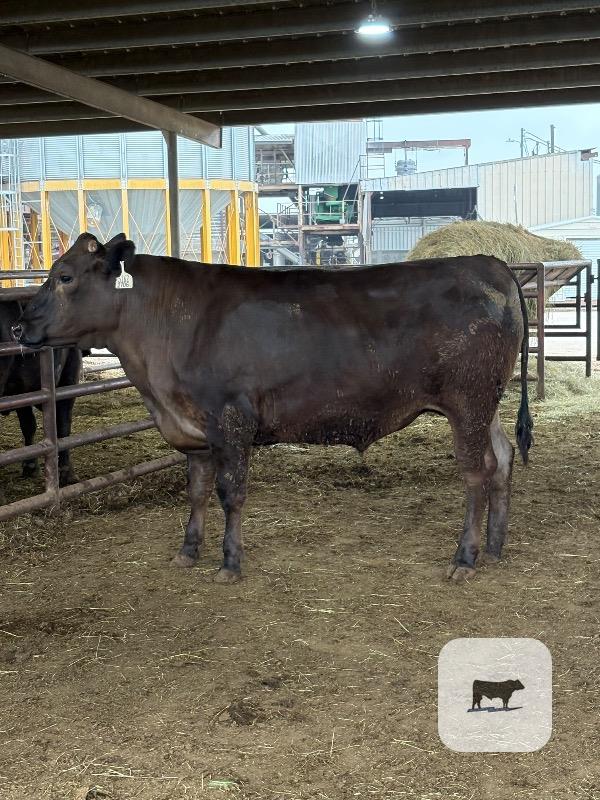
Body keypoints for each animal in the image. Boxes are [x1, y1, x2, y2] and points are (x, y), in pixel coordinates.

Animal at [13, 232, 533, 584]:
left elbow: (231, 493)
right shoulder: (195, 433)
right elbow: (197, 492)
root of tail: (490, 262)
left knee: (476, 472)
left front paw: (229, 562)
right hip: (486, 403)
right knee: (503, 458)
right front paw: (188, 551)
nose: (19, 326)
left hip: (467, 400)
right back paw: (495, 546)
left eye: (64, 277)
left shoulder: (231, 420)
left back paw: (465, 557)